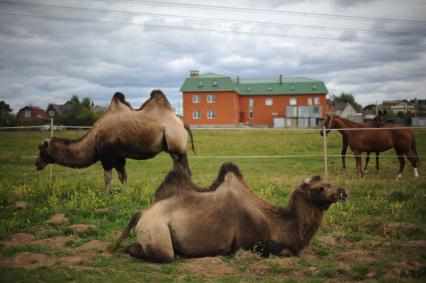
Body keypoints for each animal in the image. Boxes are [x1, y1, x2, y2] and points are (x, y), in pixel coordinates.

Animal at [35, 91, 196, 193]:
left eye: (41, 150)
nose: (37, 164)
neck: (93, 140)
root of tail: (182, 123)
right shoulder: (119, 157)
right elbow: (122, 176)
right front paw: (126, 194)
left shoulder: (107, 156)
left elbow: (108, 178)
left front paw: (104, 195)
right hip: (172, 149)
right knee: (179, 168)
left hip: (177, 145)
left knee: (186, 170)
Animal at [111, 163, 348, 262]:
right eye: (319, 188)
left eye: (329, 183)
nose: (343, 192)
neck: (277, 224)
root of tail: (141, 214)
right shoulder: (249, 242)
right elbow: (282, 251)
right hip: (155, 230)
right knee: (163, 254)